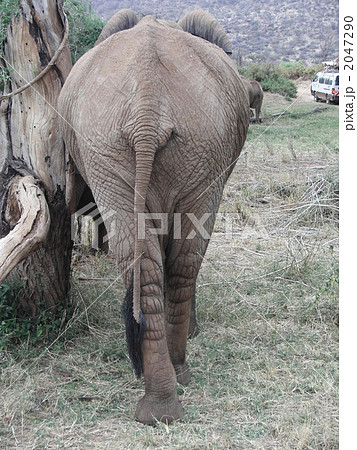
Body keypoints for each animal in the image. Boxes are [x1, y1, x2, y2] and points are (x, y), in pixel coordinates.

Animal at [58, 8, 249, 424]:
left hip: (154, 145)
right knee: (178, 258)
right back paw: (170, 390)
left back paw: (162, 399)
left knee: (155, 257)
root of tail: (149, 105)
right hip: (142, 145)